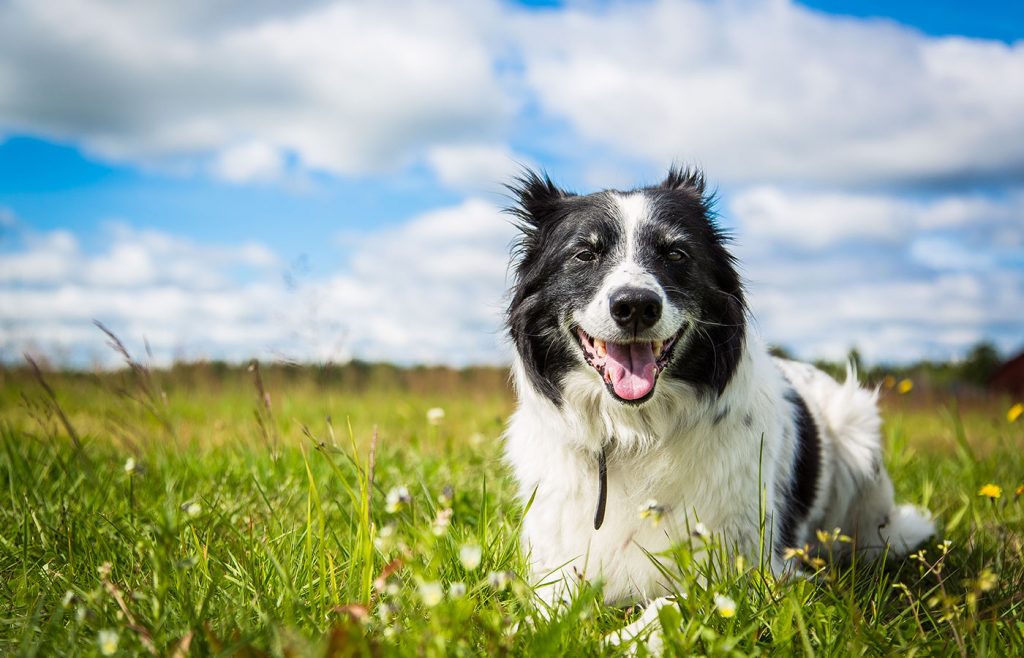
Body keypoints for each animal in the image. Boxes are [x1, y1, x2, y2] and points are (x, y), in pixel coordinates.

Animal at [503, 164, 937, 626]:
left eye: (675, 254)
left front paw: (623, 637)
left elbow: (666, 606)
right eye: (585, 254)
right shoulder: (554, 563)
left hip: (858, 435)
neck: (635, 433)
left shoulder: (747, 570)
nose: (635, 306)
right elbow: (542, 617)